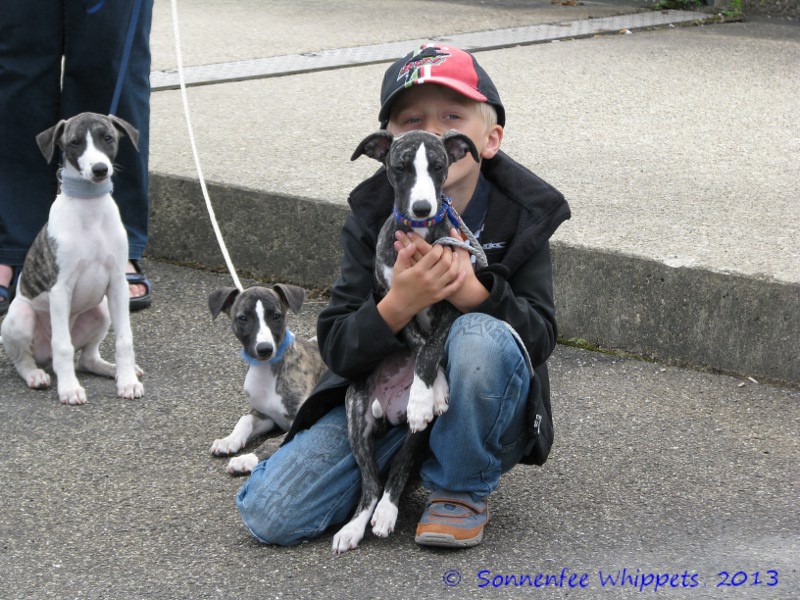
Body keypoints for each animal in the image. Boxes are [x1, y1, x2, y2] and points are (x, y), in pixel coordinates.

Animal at [1, 112, 143, 405]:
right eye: (75, 142)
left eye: (107, 138)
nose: (100, 169)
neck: (90, 209)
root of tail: (44, 357)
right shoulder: (60, 289)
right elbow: (63, 346)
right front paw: (69, 389)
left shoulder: (118, 284)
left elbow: (125, 340)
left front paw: (127, 382)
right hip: (19, 317)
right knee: (25, 360)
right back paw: (36, 376)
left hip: (101, 310)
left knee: (87, 359)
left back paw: (112, 370)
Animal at [208, 284, 326, 475]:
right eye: (243, 318)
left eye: (276, 316)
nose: (265, 349)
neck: (268, 373)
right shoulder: (266, 415)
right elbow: (245, 420)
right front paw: (229, 440)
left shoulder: (302, 422)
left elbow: (272, 442)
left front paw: (247, 458)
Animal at [331, 129, 481, 553]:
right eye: (399, 168)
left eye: (439, 166)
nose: (421, 207)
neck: (420, 237)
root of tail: (388, 411)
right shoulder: (391, 300)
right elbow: (419, 344)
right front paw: (434, 391)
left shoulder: (455, 300)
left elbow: (432, 349)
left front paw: (426, 397)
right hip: (356, 413)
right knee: (369, 479)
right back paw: (356, 524)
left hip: (416, 438)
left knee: (397, 468)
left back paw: (387, 511)